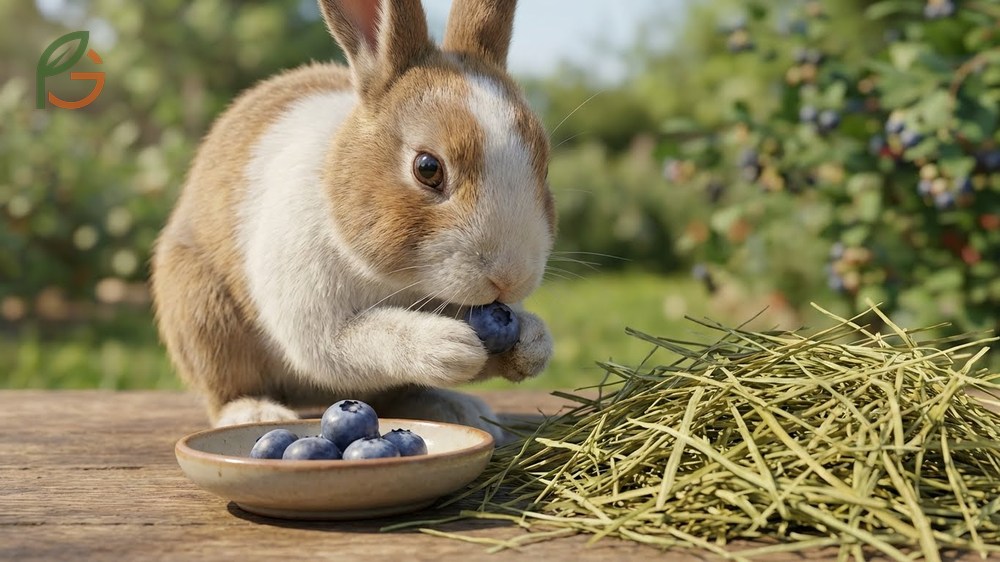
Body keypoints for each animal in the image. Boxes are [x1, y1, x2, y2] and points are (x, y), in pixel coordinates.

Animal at [149, 0, 556, 442]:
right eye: (428, 168)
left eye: (544, 165)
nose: (510, 278)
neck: (401, 282)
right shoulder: (318, 322)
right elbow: (363, 340)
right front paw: (450, 346)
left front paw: (534, 343)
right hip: (203, 317)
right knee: (227, 389)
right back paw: (255, 414)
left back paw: (457, 408)